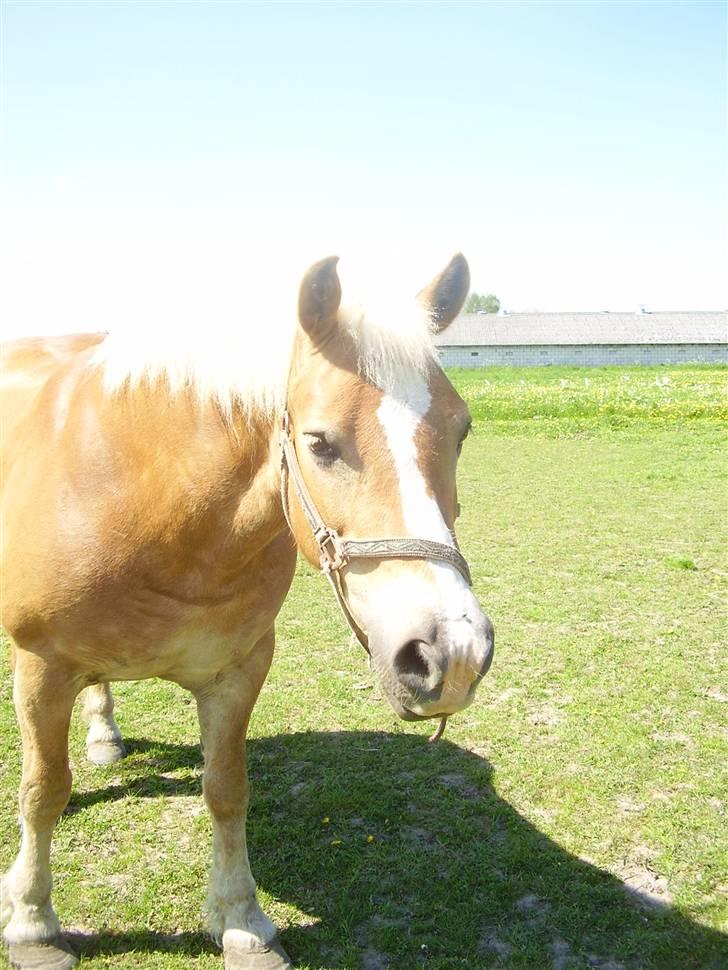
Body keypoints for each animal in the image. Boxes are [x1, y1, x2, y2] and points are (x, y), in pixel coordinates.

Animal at [0, 253, 494, 964]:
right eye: (320, 443)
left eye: (461, 429)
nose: (450, 654)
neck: (148, 503)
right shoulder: (42, 667)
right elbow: (42, 793)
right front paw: (34, 923)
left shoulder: (238, 668)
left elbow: (227, 790)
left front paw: (241, 920)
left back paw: (103, 733)